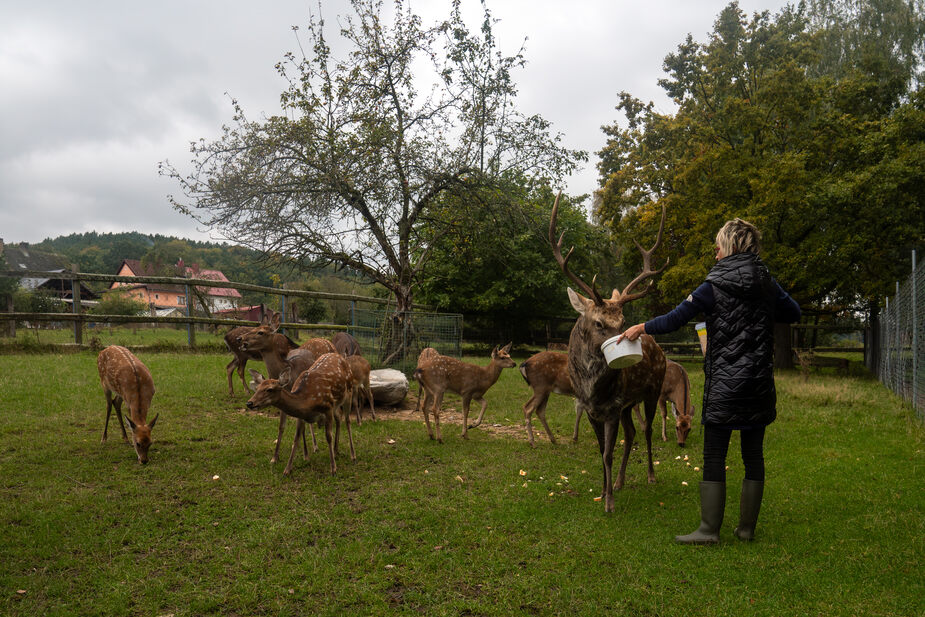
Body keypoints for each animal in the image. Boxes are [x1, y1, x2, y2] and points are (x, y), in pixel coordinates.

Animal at [548, 192, 664, 510]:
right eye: (599, 322)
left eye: (623, 322)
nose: (626, 336)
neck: (592, 390)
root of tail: (660, 348)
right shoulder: (594, 410)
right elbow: (601, 451)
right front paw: (603, 489)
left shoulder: (612, 408)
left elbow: (608, 452)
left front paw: (609, 503)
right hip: (628, 405)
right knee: (632, 433)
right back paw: (622, 481)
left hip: (653, 390)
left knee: (646, 431)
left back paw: (650, 476)